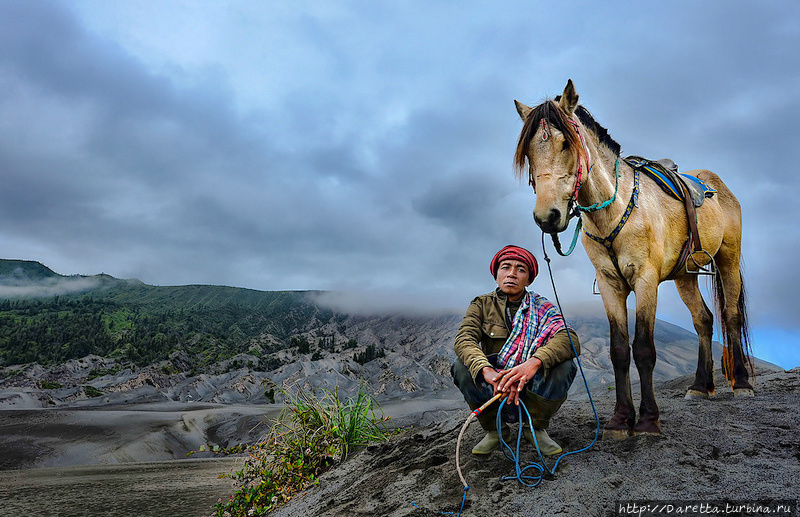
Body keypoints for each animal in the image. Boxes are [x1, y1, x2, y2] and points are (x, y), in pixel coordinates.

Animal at [516, 78, 752, 438]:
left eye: (566, 143)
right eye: (528, 151)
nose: (547, 216)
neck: (613, 209)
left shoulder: (645, 280)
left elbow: (643, 349)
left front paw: (647, 420)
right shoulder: (610, 285)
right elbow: (618, 350)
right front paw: (619, 419)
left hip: (729, 259)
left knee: (731, 315)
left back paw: (741, 383)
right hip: (685, 276)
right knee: (704, 319)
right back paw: (700, 386)